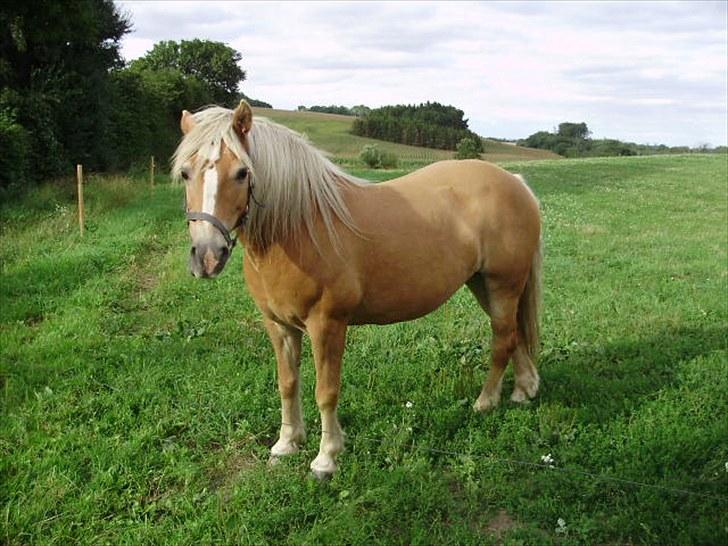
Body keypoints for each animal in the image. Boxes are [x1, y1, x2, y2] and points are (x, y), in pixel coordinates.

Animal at [175, 101, 540, 476]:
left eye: (241, 173)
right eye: (185, 173)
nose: (207, 255)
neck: (300, 226)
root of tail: (514, 182)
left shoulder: (327, 325)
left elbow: (326, 391)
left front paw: (326, 457)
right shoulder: (279, 326)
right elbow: (287, 384)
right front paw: (287, 444)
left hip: (503, 284)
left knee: (502, 339)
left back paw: (486, 401)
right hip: (483, 285)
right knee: (513, 334)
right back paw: (524, 390)